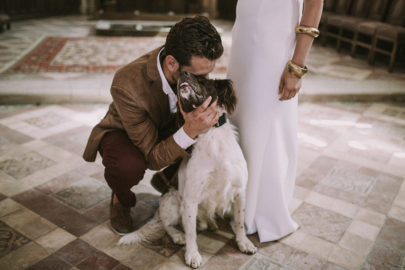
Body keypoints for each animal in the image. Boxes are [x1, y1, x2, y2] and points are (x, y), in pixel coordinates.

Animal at [118, 71, 256, 268]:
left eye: (203, 79)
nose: (183, 73)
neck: (211, 135)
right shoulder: (190, 199)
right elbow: (191, 233)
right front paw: (192, 254)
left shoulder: (239, 192)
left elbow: (239, 222)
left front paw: (244, 243)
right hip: (173, 202)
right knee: (167, 224)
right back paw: (177, 235)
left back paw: (211, 223)